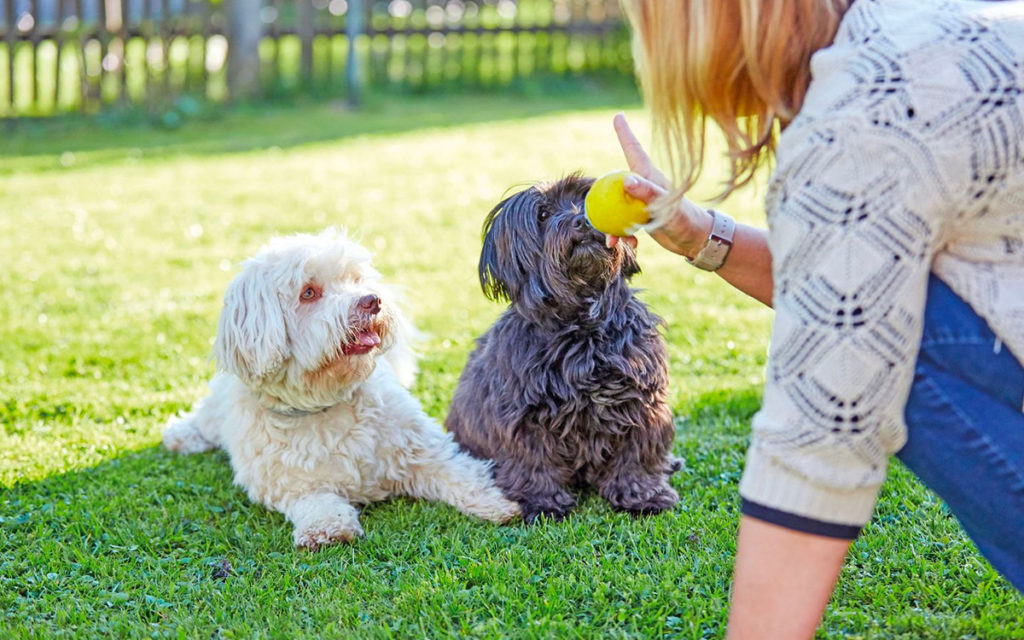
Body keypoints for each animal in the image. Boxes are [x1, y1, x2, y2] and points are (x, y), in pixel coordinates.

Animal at [168, 229, 524, 548]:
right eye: (308, 293)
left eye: (355, 279)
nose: (371, 300)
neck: (327, 399)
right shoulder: (287, 483)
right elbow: (316, 500)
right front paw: (328, 528)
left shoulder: (422, 449)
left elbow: (458, 472)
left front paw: (496, 502)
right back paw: (181, 436)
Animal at [444, 172, 675, 522]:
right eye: (543, 214)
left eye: (583, 198)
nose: (583, 220)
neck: (582, 327)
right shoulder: (525, 416)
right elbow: (532, 462)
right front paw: (542, 502)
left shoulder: (640, 402)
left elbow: (636, 455)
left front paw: (642, 495)